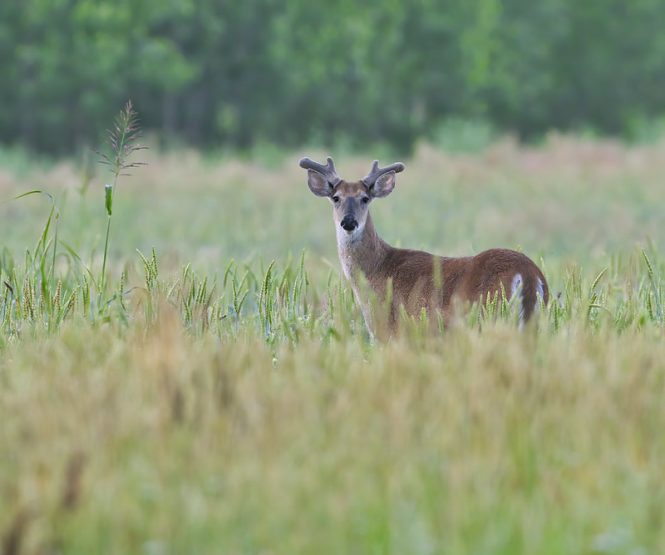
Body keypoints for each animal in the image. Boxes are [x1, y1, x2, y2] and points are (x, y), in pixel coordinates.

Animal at [298, 156, 548, 338]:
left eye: (365, 198)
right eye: (336, 198)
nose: (349, 222)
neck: (376, 271)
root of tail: (528, 273)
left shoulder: (392, 333)